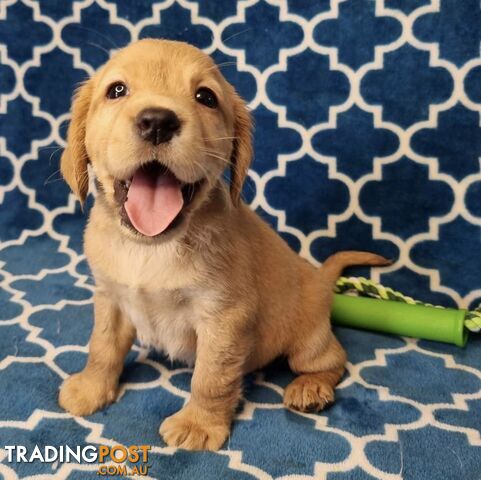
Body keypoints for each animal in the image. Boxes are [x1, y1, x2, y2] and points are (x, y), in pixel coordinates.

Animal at [58, 39, 388, 452]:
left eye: (205, 97)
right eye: (116, 90)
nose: (157, 121)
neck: (150, 248)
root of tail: (319, 279)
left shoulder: (225, 317)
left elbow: (211, 377)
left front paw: (198, 424)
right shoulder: (110, 298)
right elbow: (102, 347)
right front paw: (90, 389)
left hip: (308, 339)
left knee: (332, 360)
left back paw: (311, 388)